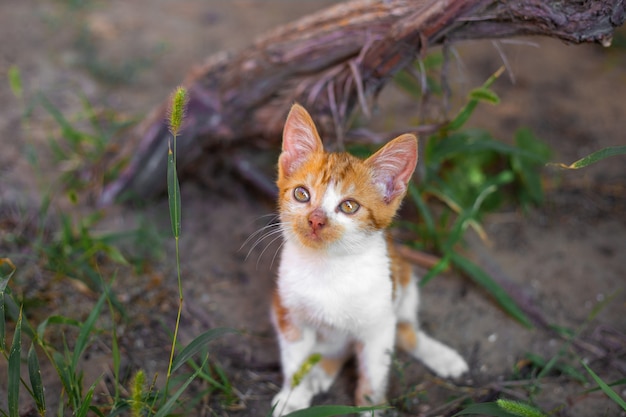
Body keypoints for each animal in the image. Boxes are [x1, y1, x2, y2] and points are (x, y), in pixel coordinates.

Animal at [270, 104, 466, 416]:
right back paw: (319, 373)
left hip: (403, 279)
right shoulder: (288, 312)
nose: (316, 219)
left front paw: (370, 405)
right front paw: (293, 395)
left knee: (407, 330)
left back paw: (442, 356)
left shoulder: (378, 324)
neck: (330, 267)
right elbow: (295, 361)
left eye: (349, 206)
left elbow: (373, 371)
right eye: (302, 194)